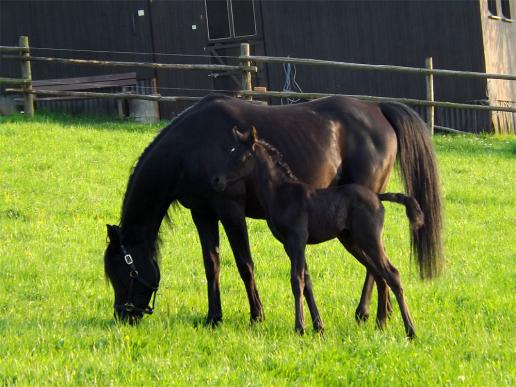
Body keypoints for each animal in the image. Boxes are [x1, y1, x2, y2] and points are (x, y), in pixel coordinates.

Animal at [212, 128, 422, 340]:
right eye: (230, 152)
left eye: (243, 157)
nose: (217, 181)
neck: (281, 193)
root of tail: (378, 197)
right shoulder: (288, 244)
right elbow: (307, 281)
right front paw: (318, 327)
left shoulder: (297, 239)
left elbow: (297, 280)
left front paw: (300, 327)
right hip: (352, 241)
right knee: (380, 275)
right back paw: (381, 325)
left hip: (370, 239)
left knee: (392, 274)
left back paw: (410, 330)